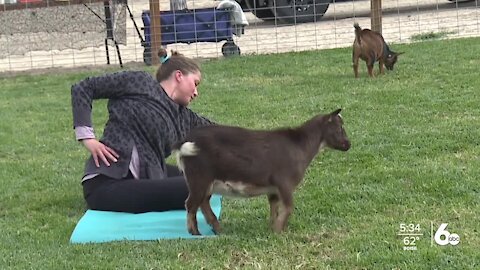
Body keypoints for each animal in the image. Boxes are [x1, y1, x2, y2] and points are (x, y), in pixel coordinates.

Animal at [174, 108, 350, 235]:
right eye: (340, 127)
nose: (349, 144)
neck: (300, 145)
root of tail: (186, 140)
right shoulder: (284, 182)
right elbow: (289, 207)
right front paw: (278, 231)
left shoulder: (273, 188)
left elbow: (274, 206)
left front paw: (273, 226)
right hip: (199, 178)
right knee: (191, 203)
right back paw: (195, 232)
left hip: (207, 182)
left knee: (202, 202)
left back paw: (217, 229)